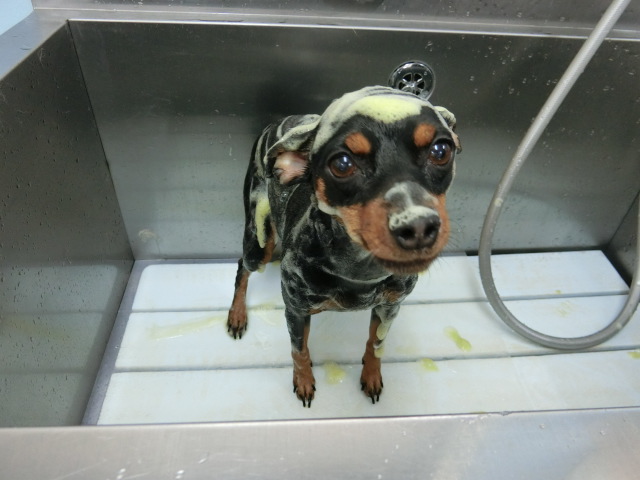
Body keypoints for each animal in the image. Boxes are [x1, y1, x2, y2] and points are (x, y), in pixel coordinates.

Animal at [227, 86, 460, 407]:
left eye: (441, 150)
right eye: (342, 163)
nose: (418, 227)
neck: (358, 268)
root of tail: (278, 123)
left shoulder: (390, 306)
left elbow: (375, 343)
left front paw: (371, 375)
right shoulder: (295, 310)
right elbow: (299, 351)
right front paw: (304, 381)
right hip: (258, 242)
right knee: (242, 267)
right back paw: (237, 315)